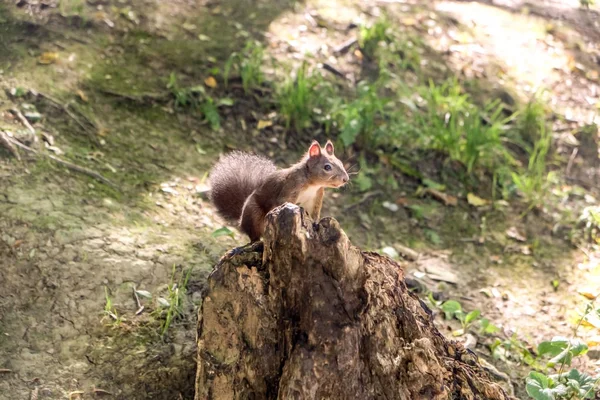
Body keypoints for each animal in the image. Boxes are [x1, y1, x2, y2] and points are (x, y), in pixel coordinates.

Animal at [209, 141, 350, 241]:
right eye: (327, 167)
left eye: (340, 162)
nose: (345, 179)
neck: (313, 185)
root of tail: (240, 221)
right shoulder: (290, 186)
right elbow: (284, 202)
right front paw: (300, 209)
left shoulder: (316, 197)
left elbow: (314, 213)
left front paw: (315, 224)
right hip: (254, 213)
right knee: (254, 236)